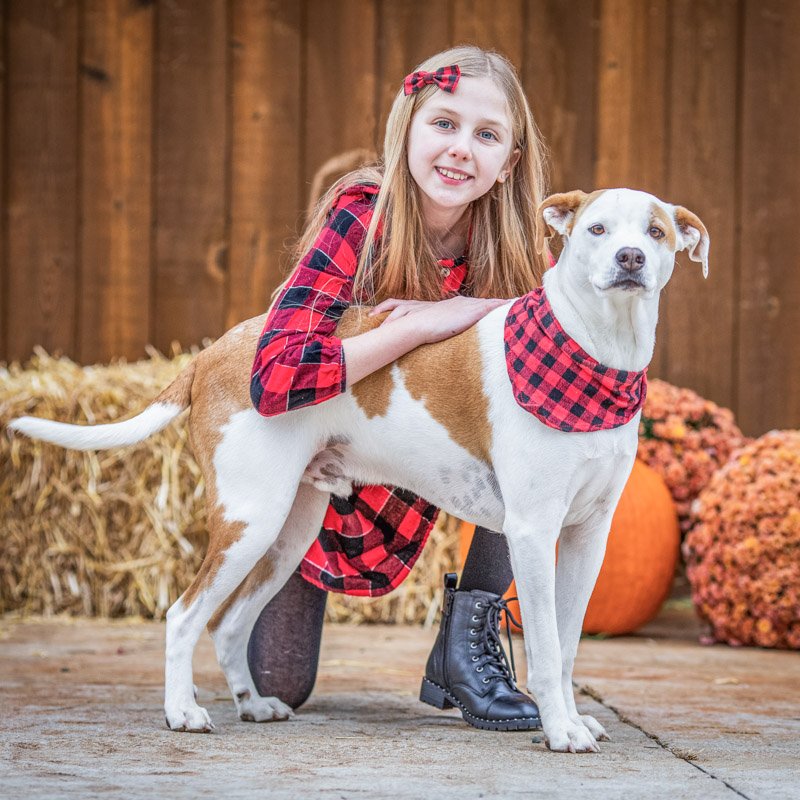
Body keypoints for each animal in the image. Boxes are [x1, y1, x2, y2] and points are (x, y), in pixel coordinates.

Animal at [6, 191, 708, 752]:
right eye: (596, 229)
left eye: (655, 232)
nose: (630, 258)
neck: (596, 350)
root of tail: (213, 351)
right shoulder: (533, 530)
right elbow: (544, 642)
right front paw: (560, 730)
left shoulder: (588, 534)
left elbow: (567, 644)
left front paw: (573, 719)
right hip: (249, 519)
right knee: (183, 615)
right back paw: (183, 712)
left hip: (286, 532)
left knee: (230, 622)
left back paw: (253, 704)